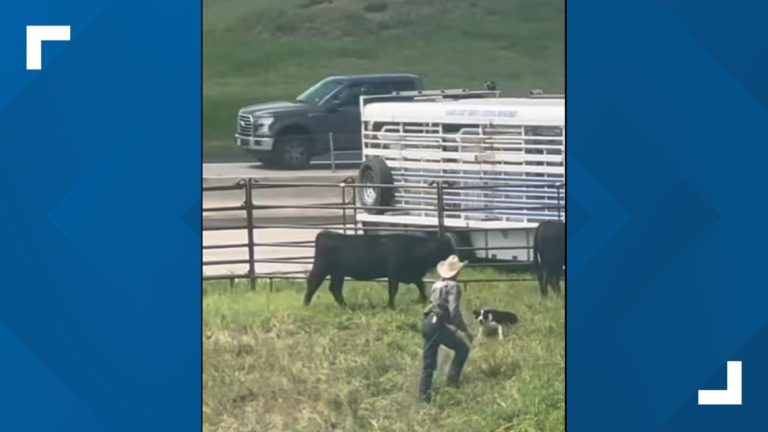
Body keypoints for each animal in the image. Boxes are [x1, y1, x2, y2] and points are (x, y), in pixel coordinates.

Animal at [302, 233, 456, 308]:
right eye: (447, 248)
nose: (456, 257)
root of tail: (325, 234)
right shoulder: (393, 274)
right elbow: (393, 290)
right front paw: (390, 306)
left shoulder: (413, 274)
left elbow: (420, 285)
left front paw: (424, 300)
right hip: (322, 269)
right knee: (313, 283)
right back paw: (306, 304)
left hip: (337, 273)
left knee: (335, 288)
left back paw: (345, 306)